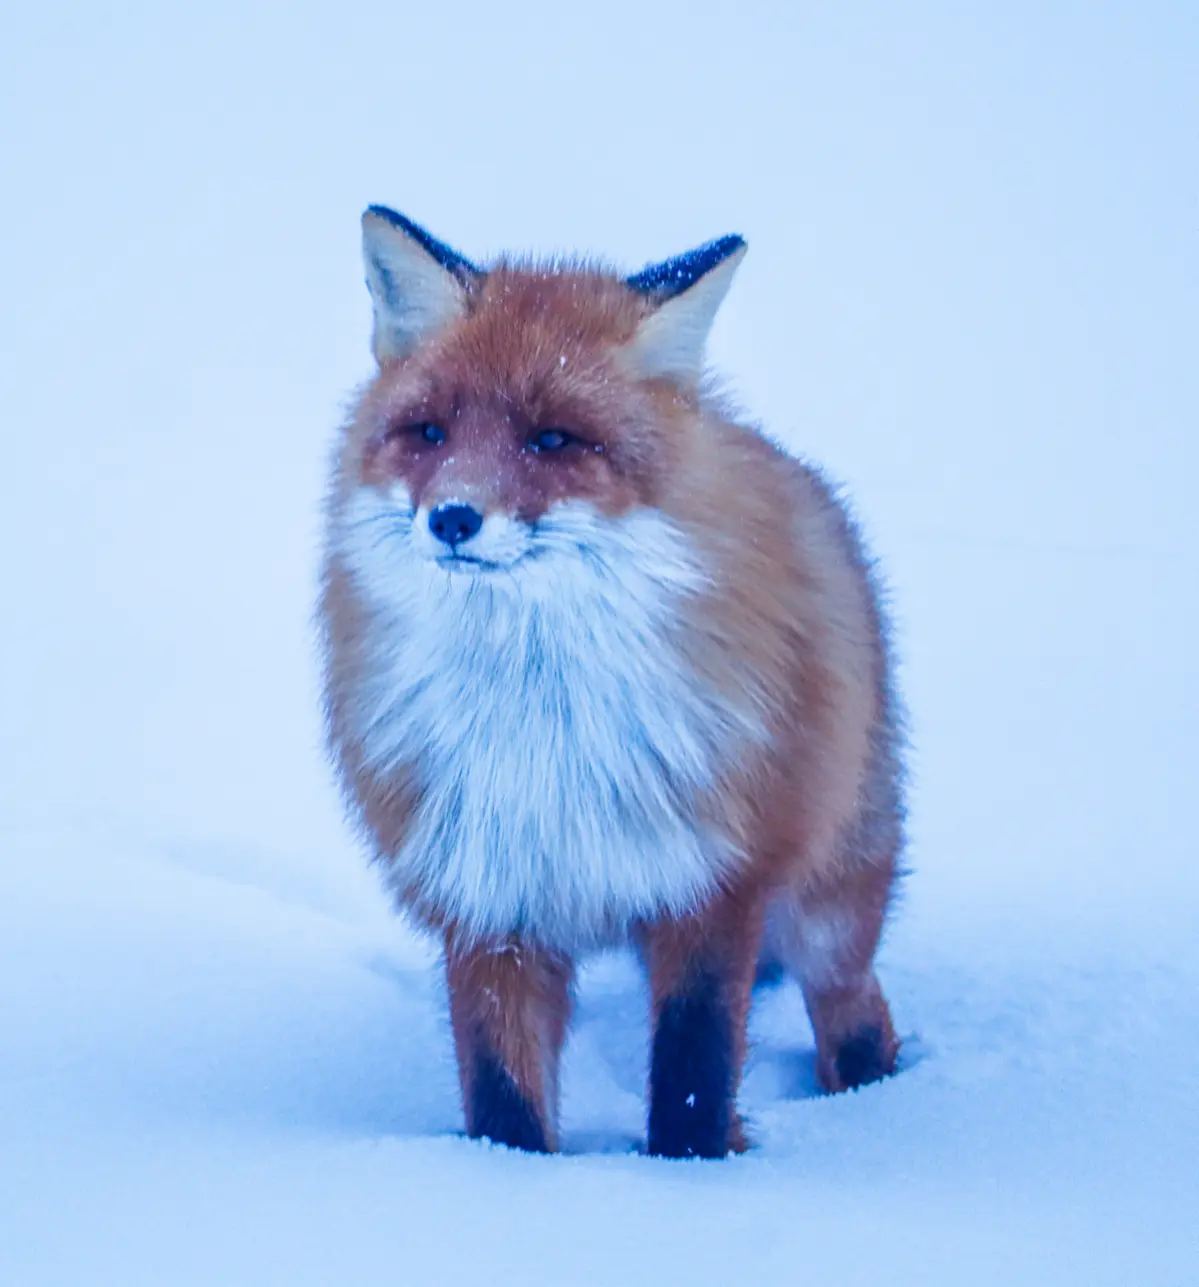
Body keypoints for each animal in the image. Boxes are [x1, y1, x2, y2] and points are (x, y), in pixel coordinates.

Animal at [319, 204, 905, 1159]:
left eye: (552, 437)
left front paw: (685, 1174)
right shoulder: (488, 893)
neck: (540, 731)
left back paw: (872, 1101)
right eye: (430, 431)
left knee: (852, 1004)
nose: (452, 518)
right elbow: (503, 1092)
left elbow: (694, 1071)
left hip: (830, 900)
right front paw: (503, 1175)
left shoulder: (713, 884)